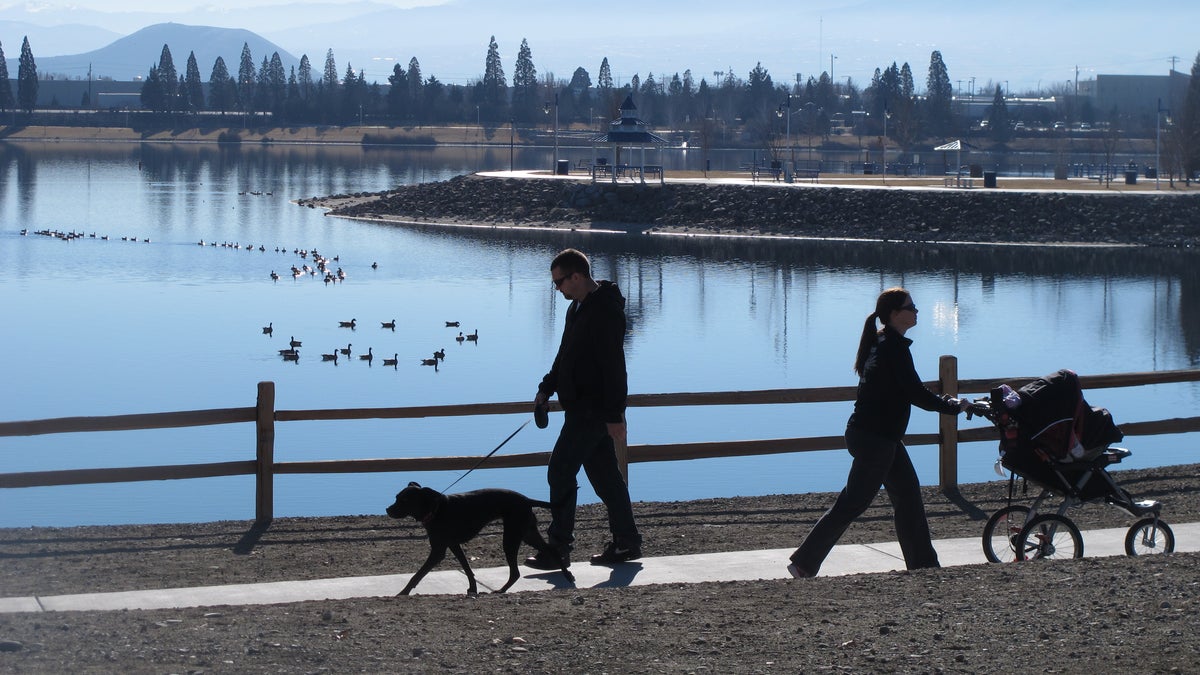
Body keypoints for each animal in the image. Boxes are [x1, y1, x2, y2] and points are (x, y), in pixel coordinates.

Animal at [384, 478, 571, 593]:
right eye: (396, 497)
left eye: (404, 500)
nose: (387, 509)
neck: (435, 509)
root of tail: (527, 499)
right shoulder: (454, 545)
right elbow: (467, 568)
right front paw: (473, 589)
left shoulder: (438, 551)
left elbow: (418, 574)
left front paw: (403, 592)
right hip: (527, 533)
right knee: (552, 550)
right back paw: (567, 575)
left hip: (511, 537)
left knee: (516, 572)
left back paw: (501, 590)